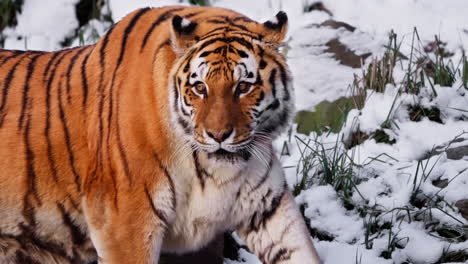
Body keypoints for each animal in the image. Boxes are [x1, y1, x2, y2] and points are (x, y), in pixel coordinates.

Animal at [0, 4, 320, 264]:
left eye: (243, 86)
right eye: (200, 88)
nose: (218, 135)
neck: (210, 170)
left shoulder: (268, 207)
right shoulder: (125, 224)